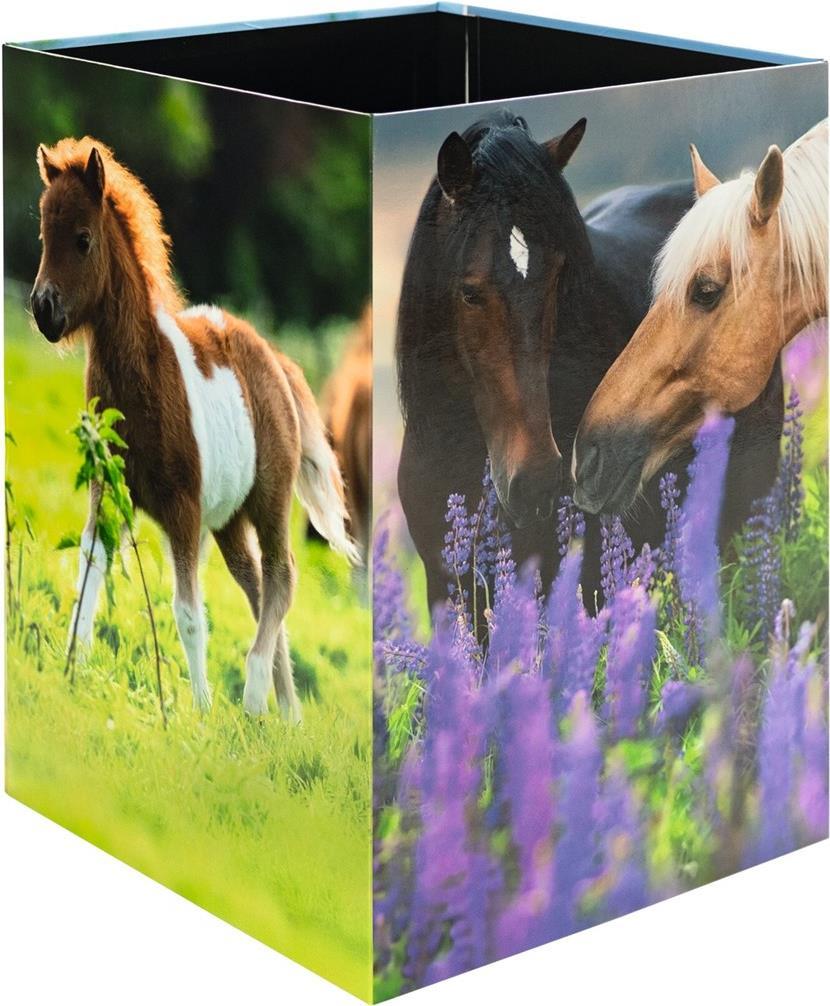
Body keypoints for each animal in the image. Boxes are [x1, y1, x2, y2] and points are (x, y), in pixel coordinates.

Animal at [30, 137, 358, 720]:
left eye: (83, 239)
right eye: (46, 235)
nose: (43, 310)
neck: (144, 375)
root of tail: (276, 361)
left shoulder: (181, 511)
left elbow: (188, 611)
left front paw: (201, 712)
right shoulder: (106, 490)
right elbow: (89, 573)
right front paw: (71, 669)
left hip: (269, 501)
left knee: (282, 577)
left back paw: (254, 698)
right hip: (228, 520)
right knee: (257, 586)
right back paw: (287, 714)